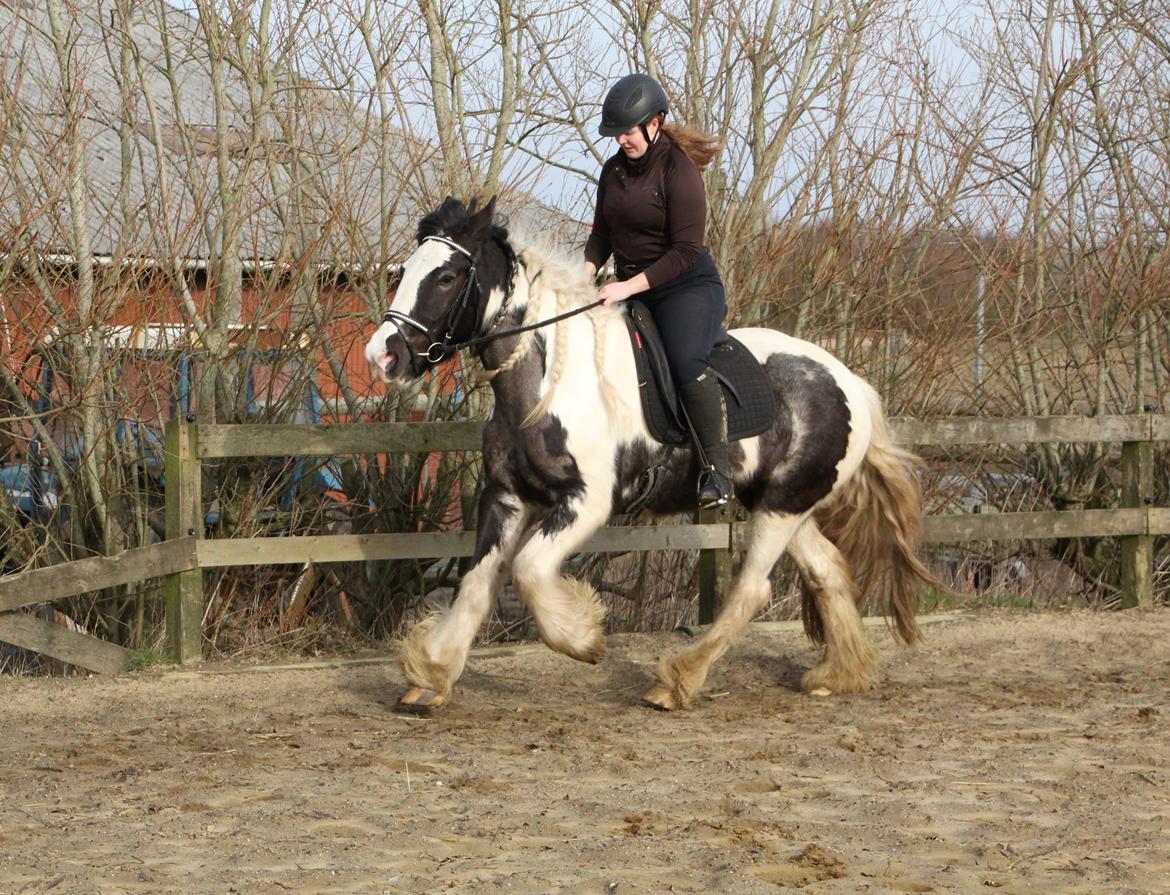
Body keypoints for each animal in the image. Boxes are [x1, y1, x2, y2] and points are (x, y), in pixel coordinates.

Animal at [365, 195, 940, 711]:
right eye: (405, 270)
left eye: (445, 277)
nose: (382, 355)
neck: (551, 382)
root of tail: (851, 383)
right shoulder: (506, 498)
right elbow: (476, 584)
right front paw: (432, 676)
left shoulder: (587, 502)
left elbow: (527, 572)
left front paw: (584, 638)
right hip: (781, 503)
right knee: (827, 571)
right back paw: (838, 675)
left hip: (782, 507)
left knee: (751, 590)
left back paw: (677, 681)